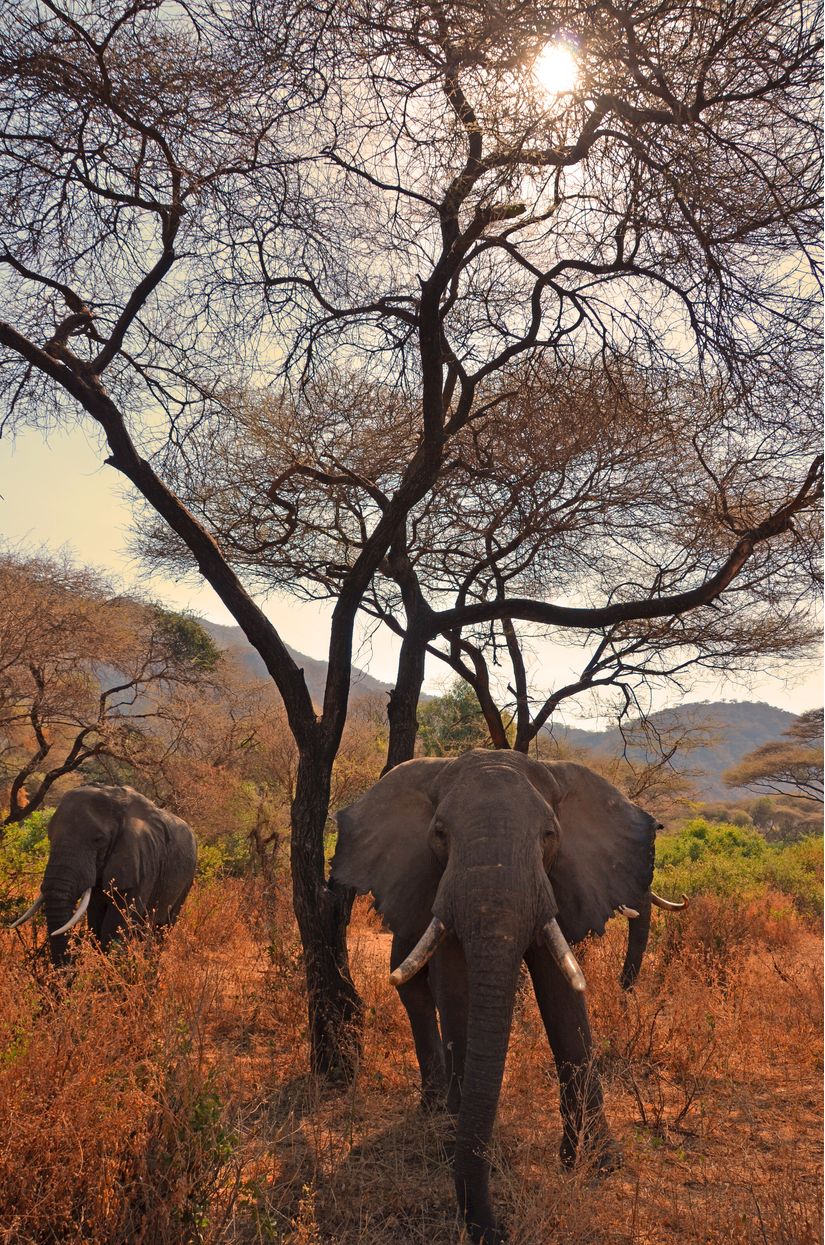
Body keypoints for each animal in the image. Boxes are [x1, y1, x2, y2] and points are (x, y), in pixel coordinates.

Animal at [9, 784, 197, 966]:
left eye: (99, 840)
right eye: (49, 836)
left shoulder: (144, 861)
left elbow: (114, 928)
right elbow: (96, 923)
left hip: (187, 880)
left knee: (161, 931)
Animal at [331, 748, 684, 1245]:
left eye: (550, 835)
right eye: (440, 834)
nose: (500, 1230)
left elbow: (563, 994)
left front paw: (596, 1164)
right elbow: (456, 989)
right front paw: (457, 1147)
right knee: (416, 996)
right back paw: (436, 1113)